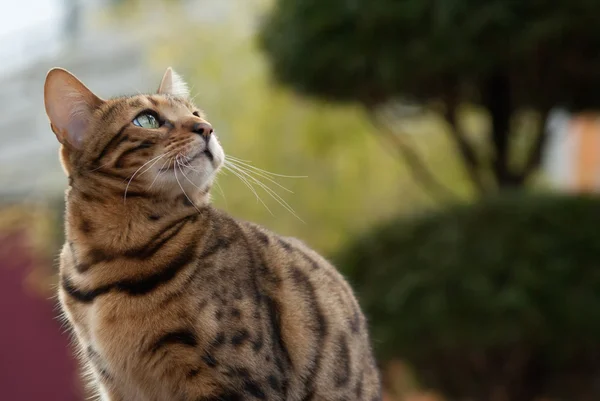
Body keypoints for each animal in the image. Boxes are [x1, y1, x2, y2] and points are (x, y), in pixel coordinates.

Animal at [43, 67, 380, 398]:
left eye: (195, 112)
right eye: (147, 119)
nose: (206, 128)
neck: (110, 260)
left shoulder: (236, 380)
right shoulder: (114, 383)